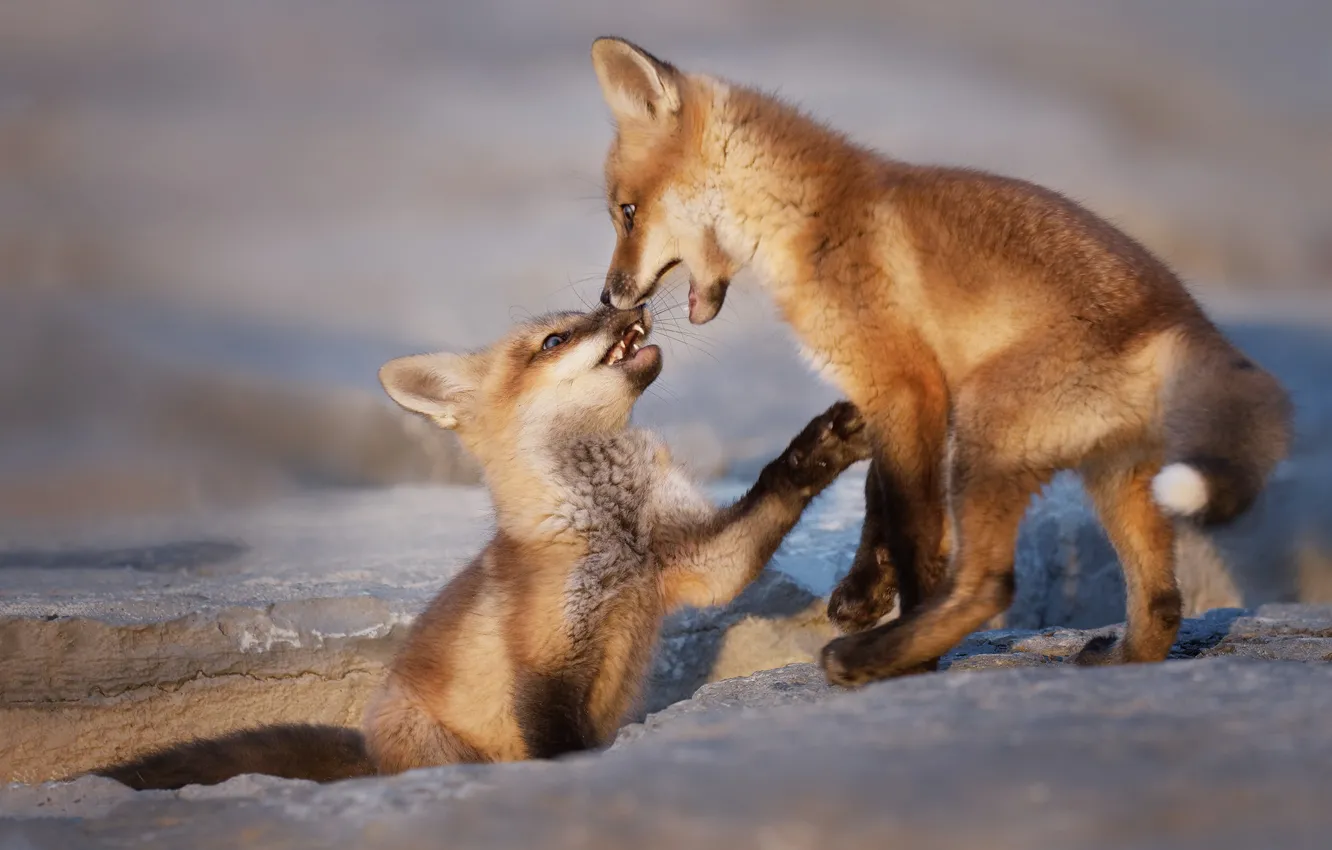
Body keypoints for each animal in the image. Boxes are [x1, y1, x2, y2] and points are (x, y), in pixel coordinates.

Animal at [94, 305, 870, 790]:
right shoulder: (543, 659)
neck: (611, 526)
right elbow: (560, 748)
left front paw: (821, 448)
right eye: (556, 339)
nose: (632, 300)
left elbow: (770, 497)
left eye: (597, 309)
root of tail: (372, 752)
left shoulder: (694, 566)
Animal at [587, 36, 1293, 686]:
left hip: (990, 438)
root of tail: (1177, 319)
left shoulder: (907, 383)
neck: (810, 217)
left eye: (627, 212)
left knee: (992, 586)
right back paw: (1118, 659)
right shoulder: (906, 390)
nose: (607, 298)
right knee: (1163, 604)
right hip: (1112, 477)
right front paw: (866, 592)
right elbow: (879, 495)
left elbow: (910, 524)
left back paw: (872, 659)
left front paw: (908, 645)